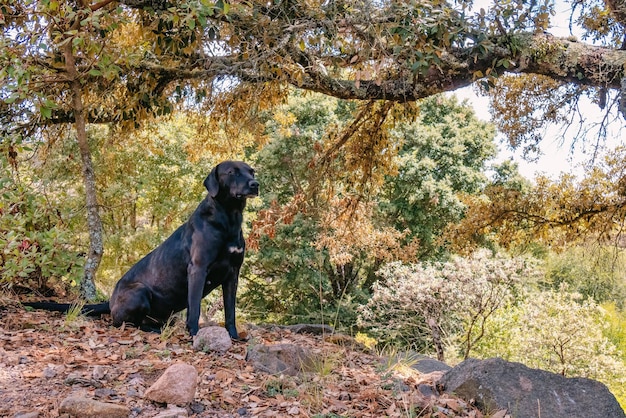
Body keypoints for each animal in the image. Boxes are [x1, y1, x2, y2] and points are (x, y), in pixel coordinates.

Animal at [23, 161, 258, 340]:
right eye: (232, 172)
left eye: (251, 171)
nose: (255, 184)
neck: (229, 218)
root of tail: (110, 301)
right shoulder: (198, 269)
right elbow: (195, 309)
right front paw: (194, 334)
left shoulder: (232, 274)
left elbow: (230, 312)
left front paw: (234, 336)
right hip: (140, 291)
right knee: (126, 323)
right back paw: (153, 329)